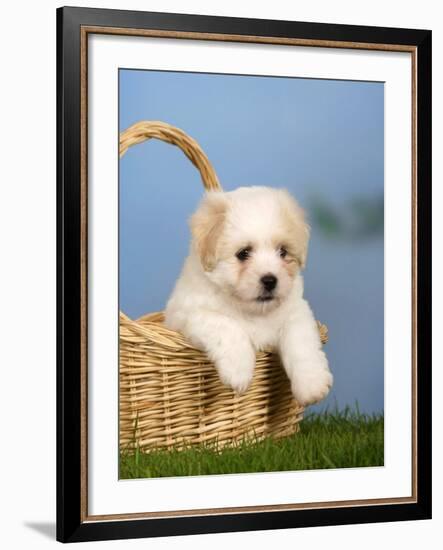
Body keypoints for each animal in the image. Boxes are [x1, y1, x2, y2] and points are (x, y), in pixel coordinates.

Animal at [166, 188, 332, 408]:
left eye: (283, 251)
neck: (253, 311)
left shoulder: (296, 311)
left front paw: (312, 384)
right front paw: (239, 372)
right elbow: (226, 326)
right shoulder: (190, 313)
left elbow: (301, 342)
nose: (270, 280)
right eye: (243, 253)